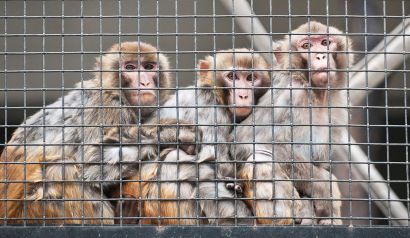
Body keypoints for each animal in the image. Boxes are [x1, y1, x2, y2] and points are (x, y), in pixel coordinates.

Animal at [0, 41, 197, 225]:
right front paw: (171, 131)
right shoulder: (108, 106)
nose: (145, 82)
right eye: (130, 68)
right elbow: (92, 164)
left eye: (149, 67)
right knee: (60, 169)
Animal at [231, 20, 352, 225]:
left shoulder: (337, 108)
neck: (315, 95)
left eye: (325, 43)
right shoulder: (291, 95)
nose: (320, 55)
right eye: (307, 46)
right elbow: (245, 142)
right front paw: (326, 189)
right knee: (260, 158)